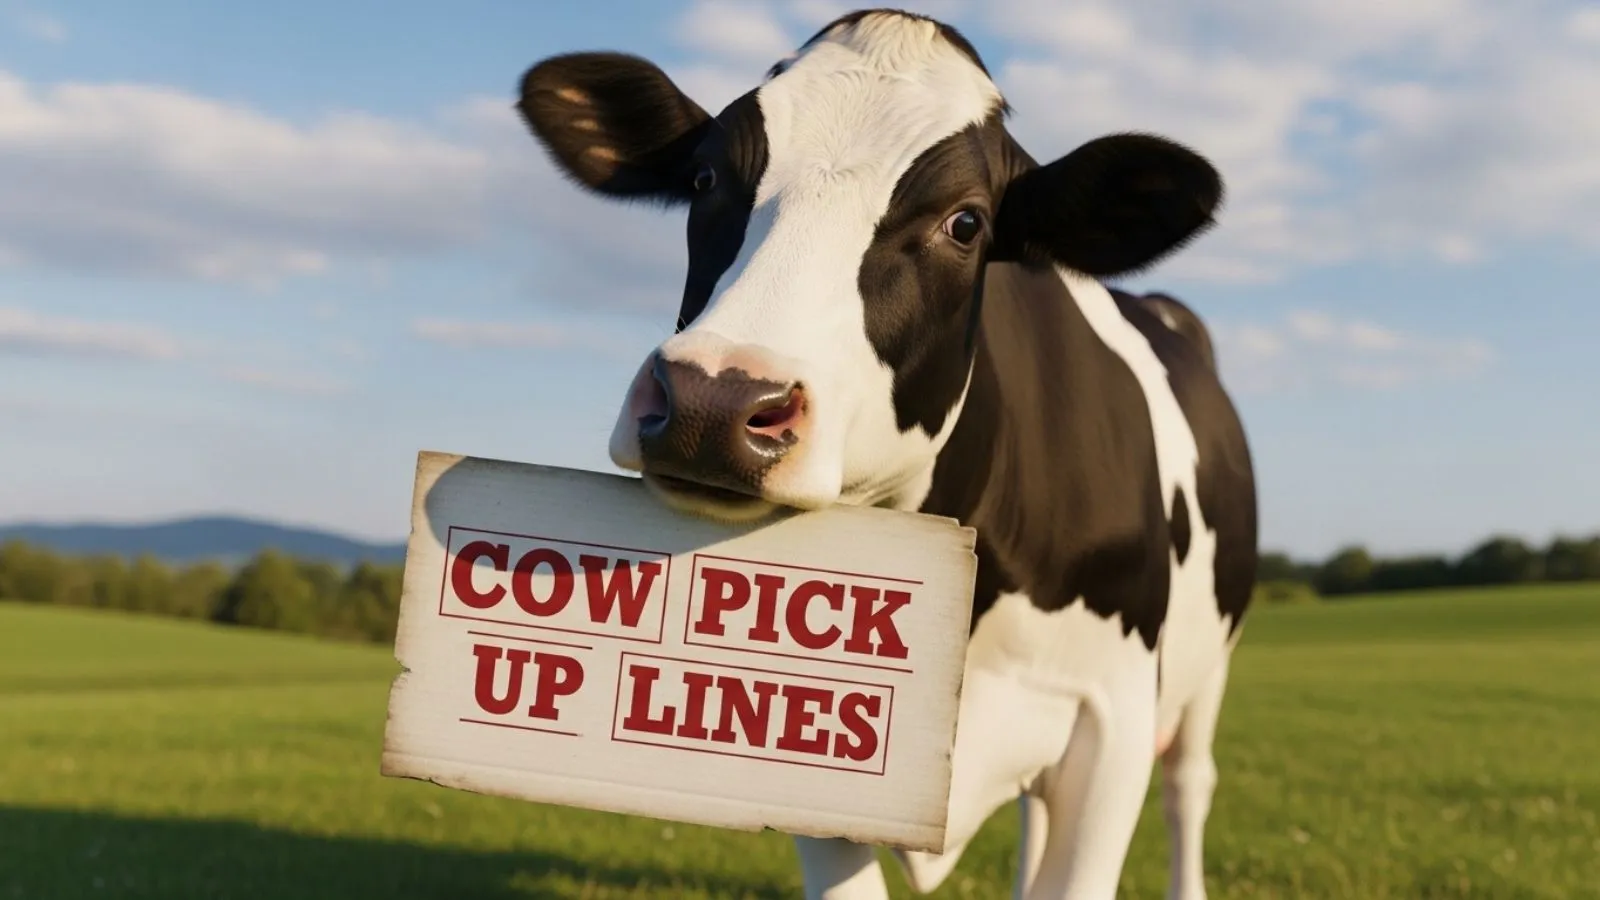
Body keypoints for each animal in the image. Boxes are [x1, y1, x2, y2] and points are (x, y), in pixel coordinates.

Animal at [514, 8, 1258, 900]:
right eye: (703, 179)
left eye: (966, 223)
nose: (711, 401)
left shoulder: (1111, 721)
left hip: (1206, 672)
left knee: (1190, 786)